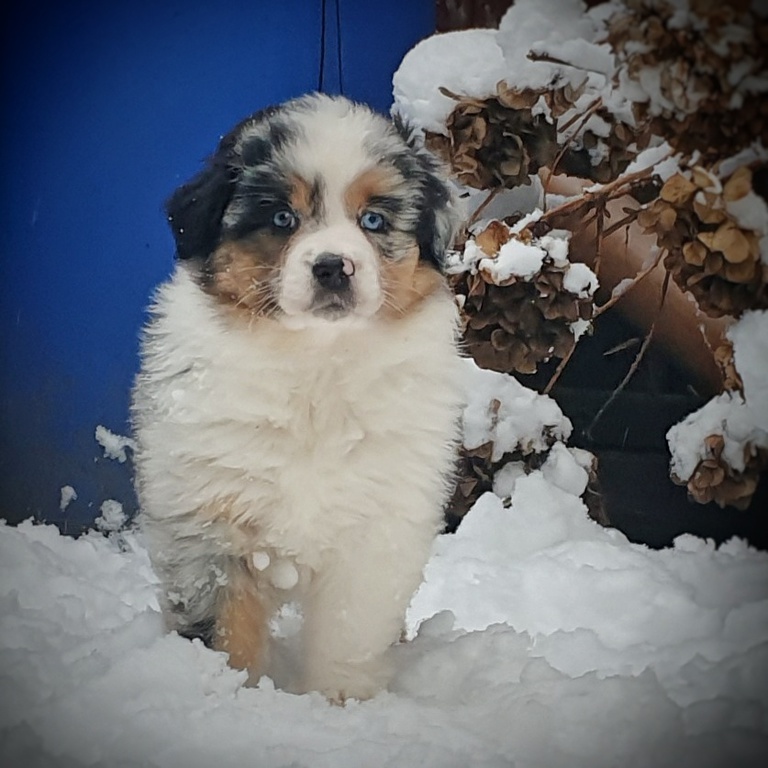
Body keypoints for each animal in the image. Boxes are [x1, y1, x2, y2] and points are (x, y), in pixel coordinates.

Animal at [131, 93, 464, 702]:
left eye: (373, 220)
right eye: (282, 218)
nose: (333, 266)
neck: (315, 367)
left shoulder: (376, 533)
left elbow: (347, 634)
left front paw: (340, 705)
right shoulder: (207, 526)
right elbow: (224, 632)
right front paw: (230, 698)